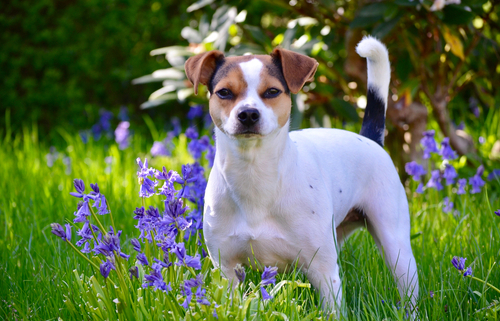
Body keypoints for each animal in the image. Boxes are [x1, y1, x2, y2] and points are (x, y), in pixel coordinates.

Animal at [184, 37, 418, 312]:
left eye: (272, 91)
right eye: (224, 92)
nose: (248, 114)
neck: (254, 175)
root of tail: (370, 139)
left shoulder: (323, 270)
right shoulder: (226, 270)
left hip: (396, 246)